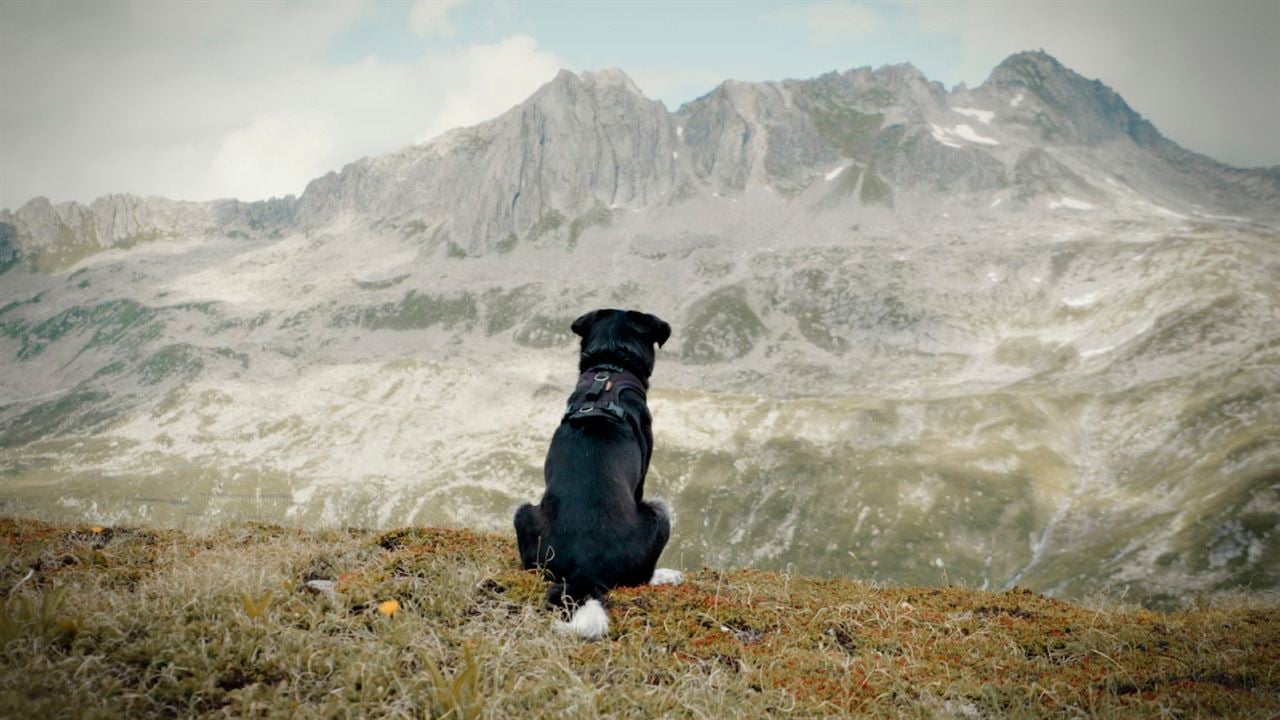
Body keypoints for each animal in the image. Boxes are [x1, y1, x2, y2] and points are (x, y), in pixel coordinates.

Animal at [514, 304, 686, 635]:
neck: (610, 367)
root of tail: (585, 568)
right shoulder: (642, 477)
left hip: (523, 514)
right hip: (660, 512)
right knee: (640, 576)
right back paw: (665, 575)